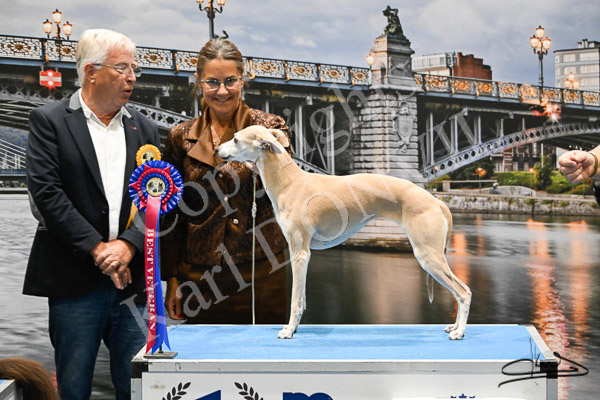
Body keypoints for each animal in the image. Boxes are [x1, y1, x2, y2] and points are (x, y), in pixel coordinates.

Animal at [215, 125, 471, 340]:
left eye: (236, 139)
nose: (216, 148)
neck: (289, 181)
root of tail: (436, 201)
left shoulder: (299, 253)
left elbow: (296, 300)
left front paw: (288, 331)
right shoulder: (303, 255)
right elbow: (303, 297)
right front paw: (295, 328)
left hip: (428, 256)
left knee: (464, 292)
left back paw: (459, 332)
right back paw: (454, 326)